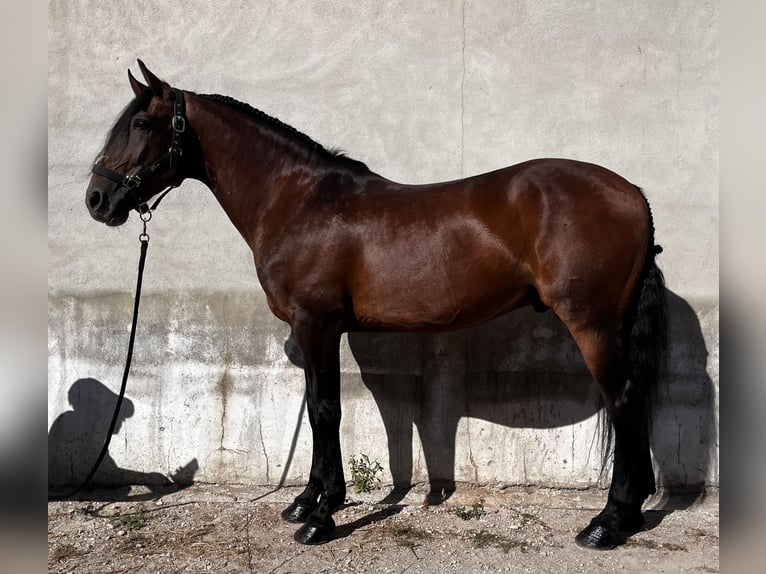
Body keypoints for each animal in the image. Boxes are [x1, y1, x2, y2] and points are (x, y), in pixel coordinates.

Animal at [87, 60, 668, 552]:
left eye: (141, 122)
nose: (97, 200)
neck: (297, 200)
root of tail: (633, 195)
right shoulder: (317, 332)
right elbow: (318, 408)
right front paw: (304, 502)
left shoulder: (318, 325)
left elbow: (326, 410)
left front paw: (322, 518)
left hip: (593, 324)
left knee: (625, 401)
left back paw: (607, 522)